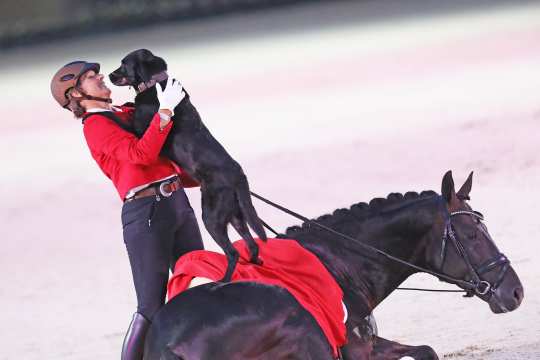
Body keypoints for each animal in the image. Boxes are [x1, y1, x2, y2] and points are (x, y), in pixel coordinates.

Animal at [108, 49, 266, 282]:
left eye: (123, 64)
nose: (109, 76)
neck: (157, 83)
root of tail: (238, 174)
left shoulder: (138, 132)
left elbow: (118, 120)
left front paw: (99, 111)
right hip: (236, 214)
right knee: (252, 245)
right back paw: (255, 267)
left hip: (211, 216)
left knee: (233, 252)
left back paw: (223, 280)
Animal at [143, 172, 524, 360]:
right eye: (472, 234)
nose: (516, 292)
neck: (342, 261)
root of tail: (168, 345)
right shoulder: (356, 352)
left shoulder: (368, 346)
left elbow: (426, 352)